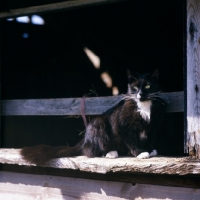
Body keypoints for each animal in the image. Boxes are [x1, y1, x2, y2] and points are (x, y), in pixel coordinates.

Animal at [20, 69, 166, 164]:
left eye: (147, 86)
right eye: (135, 87)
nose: (140, 93)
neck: (144, 105)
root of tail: (84, 141)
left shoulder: (154, 125)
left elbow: (149, 138)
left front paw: (150, 150)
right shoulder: (123, 125)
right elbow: (131, 140)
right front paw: (141, 152)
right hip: (97, 123)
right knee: (90, 151)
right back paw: (110, 153)